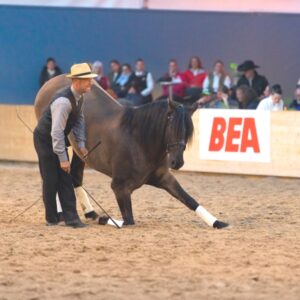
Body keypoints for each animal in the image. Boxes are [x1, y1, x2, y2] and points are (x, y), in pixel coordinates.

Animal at [35, 76, 227, 229]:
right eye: (173, 127)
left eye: (188, 131)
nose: (177, 162)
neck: (139, 141)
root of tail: (50, 82)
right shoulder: (119, 187)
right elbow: (128, 220)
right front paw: (104, 219)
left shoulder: (164, 178)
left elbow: (189, 199)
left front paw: (217, 222)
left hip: (80, 151)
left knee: (74, 175)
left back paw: (90, 212)